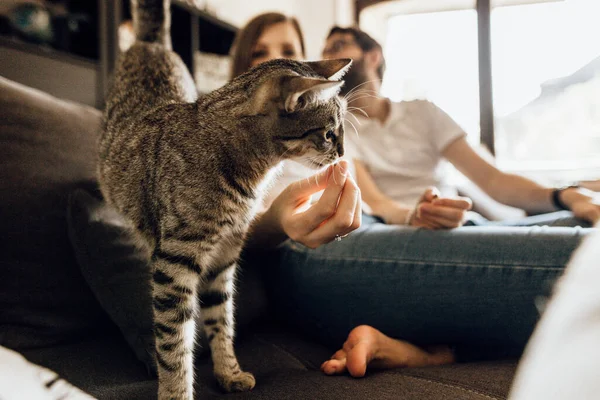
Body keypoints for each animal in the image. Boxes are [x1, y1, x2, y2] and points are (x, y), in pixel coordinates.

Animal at [98, 0, 352, 400]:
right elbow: (174, 344)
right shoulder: (175, 263)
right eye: (329, 134)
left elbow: (221, 319)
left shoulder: (226, 254)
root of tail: (150, 44)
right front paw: (176, 393)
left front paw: (229, 371)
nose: (342, 154)